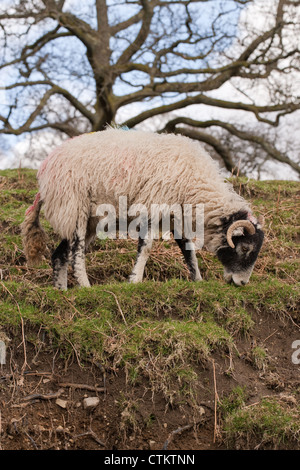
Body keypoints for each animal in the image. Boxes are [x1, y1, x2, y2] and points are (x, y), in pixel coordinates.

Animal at [21, 129, 264, 290]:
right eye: (245, 248)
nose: (242, 282)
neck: (196, 184)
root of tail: (46, 165)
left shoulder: (175, 217)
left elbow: (189, 252)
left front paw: (198, 280)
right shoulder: (153, 206)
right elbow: (146, 248)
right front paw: (135, 280)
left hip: (83, 217)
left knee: (59, 255)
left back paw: (62, 291)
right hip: (74, 206)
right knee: (76, 253)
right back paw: (85, 286)